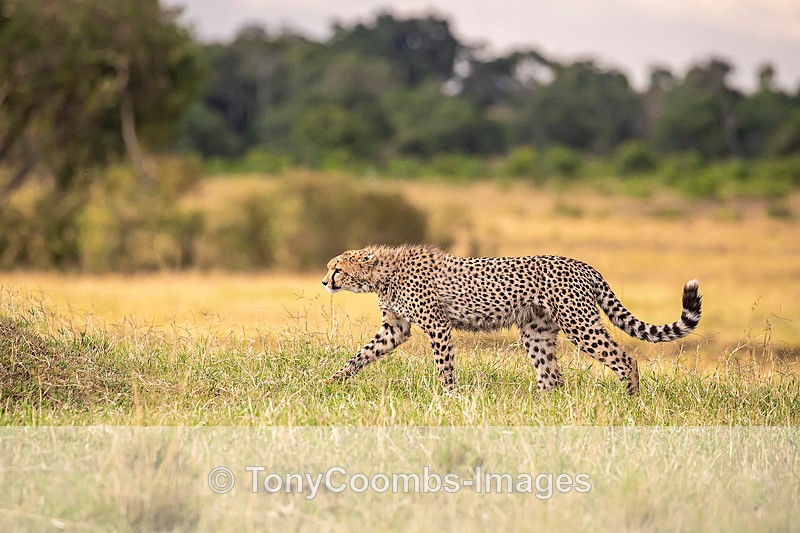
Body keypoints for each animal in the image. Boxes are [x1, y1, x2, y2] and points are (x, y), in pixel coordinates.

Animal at [321, 244, 701, 395]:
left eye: (337, 268)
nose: (325, 282)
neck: (384, 274)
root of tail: (584, 265)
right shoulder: (395, 328)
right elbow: (361, 355)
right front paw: (332, 380)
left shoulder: (437, 325)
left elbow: (444, 366)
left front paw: (447, 396)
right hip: (536, 331)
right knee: (552, 376)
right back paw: (539, 407)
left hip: (580, 325)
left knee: (625, 358)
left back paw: (630, 400)